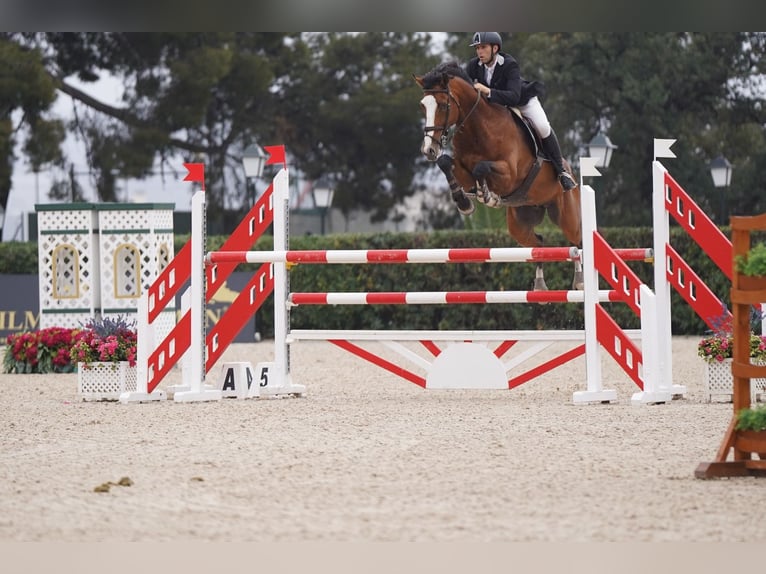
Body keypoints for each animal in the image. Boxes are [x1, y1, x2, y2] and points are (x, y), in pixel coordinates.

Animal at [414, 62, 583, 291]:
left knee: (578, 242)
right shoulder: (463, 171)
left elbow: (481, 168)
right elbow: (446, 163)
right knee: (538, 243)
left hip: (566, 215)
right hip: (519, 223)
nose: (429, 150)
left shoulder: (510, 174)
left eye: (441, 105)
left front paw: (488, 196)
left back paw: (580, 281)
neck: (479, 128)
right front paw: (465, 203)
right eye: (423, 106)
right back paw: (539, 285)